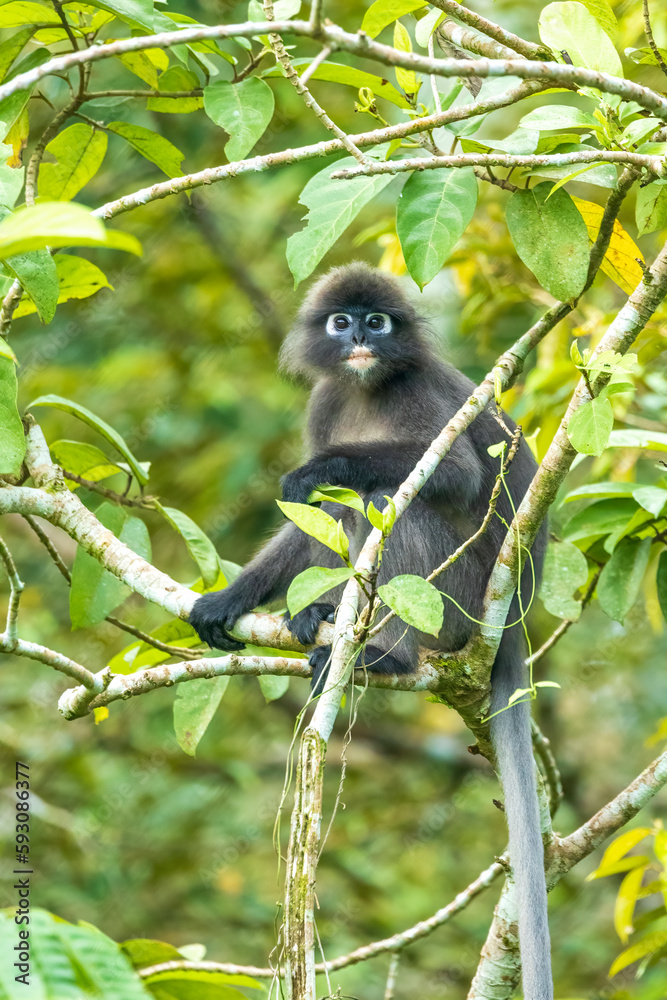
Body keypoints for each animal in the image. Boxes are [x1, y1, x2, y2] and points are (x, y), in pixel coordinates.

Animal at [189, 263, 551, 1000]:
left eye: (376, 322)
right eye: (341, 322)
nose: (358, 336)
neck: (364, 387)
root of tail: (511, 619)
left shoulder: (418, 391)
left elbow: (453, 473)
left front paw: (321, 470)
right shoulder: (326, 402)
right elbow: (306, 519)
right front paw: (230, 599)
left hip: (458, 601)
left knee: (388, 499)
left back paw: (384, 657)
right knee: (351, 515)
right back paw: (318, 619)